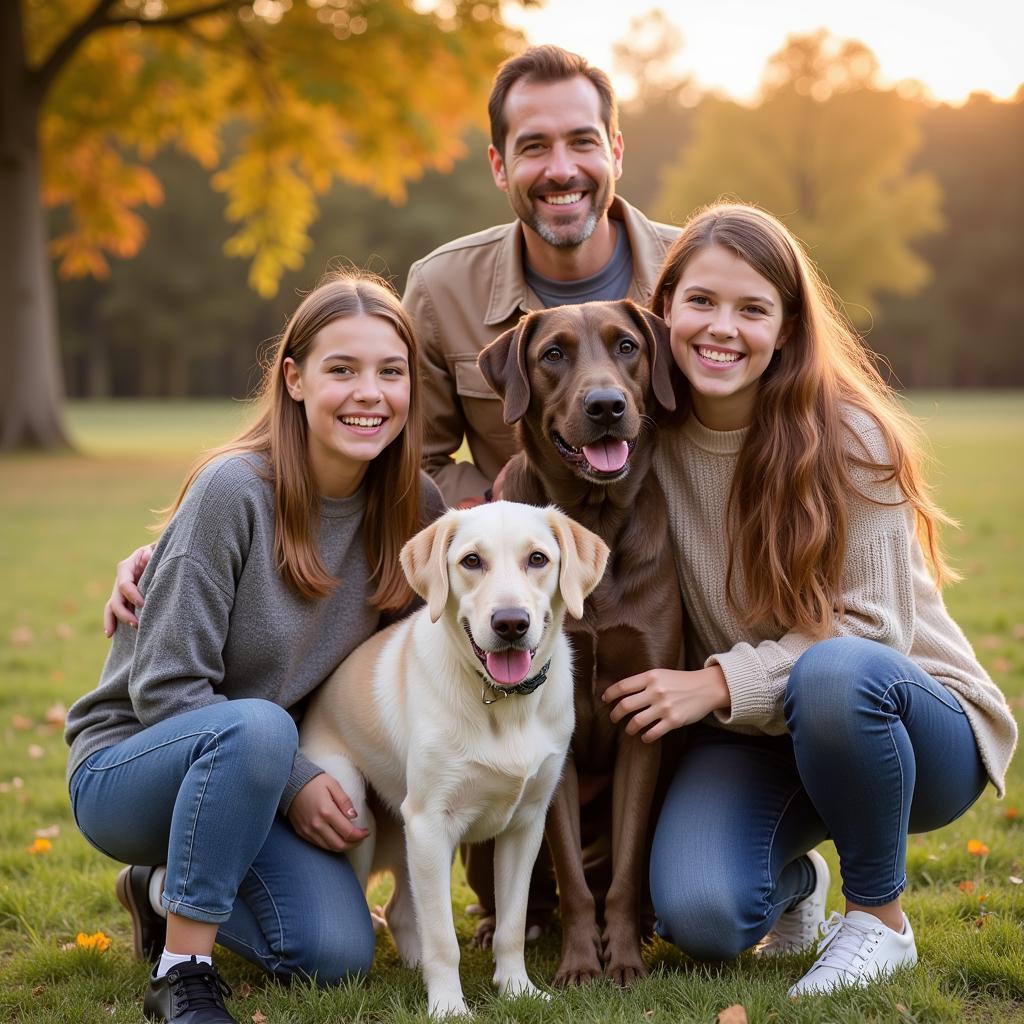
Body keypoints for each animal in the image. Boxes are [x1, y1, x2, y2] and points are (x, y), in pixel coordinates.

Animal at [299, 497, 610, 1015]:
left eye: (538, 559)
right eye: (471, 561)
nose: (511, 623)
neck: (503, 704)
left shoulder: (526, 824)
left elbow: (511, 925)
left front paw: (517, 989)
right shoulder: (430, 822)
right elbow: (444, 938)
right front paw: (447, 1006)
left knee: (402, 910)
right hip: (356, 812)